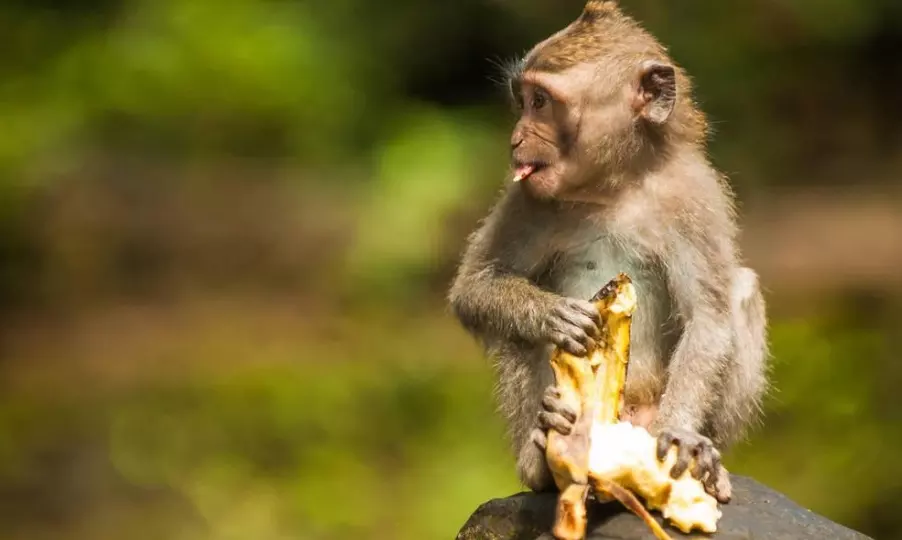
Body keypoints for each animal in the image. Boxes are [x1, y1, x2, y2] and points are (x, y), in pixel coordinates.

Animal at [448, 1, 768, 506]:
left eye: (541, 102)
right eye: (524, 100)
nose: (516, 138)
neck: (614, 185)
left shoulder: (695, 196)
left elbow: (709, 317)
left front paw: (681, 435)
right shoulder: (527, 198)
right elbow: (476, 286)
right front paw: (551, 314)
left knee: (742, 290)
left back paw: (710, 462)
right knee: (514, 334)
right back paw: (540, 457)